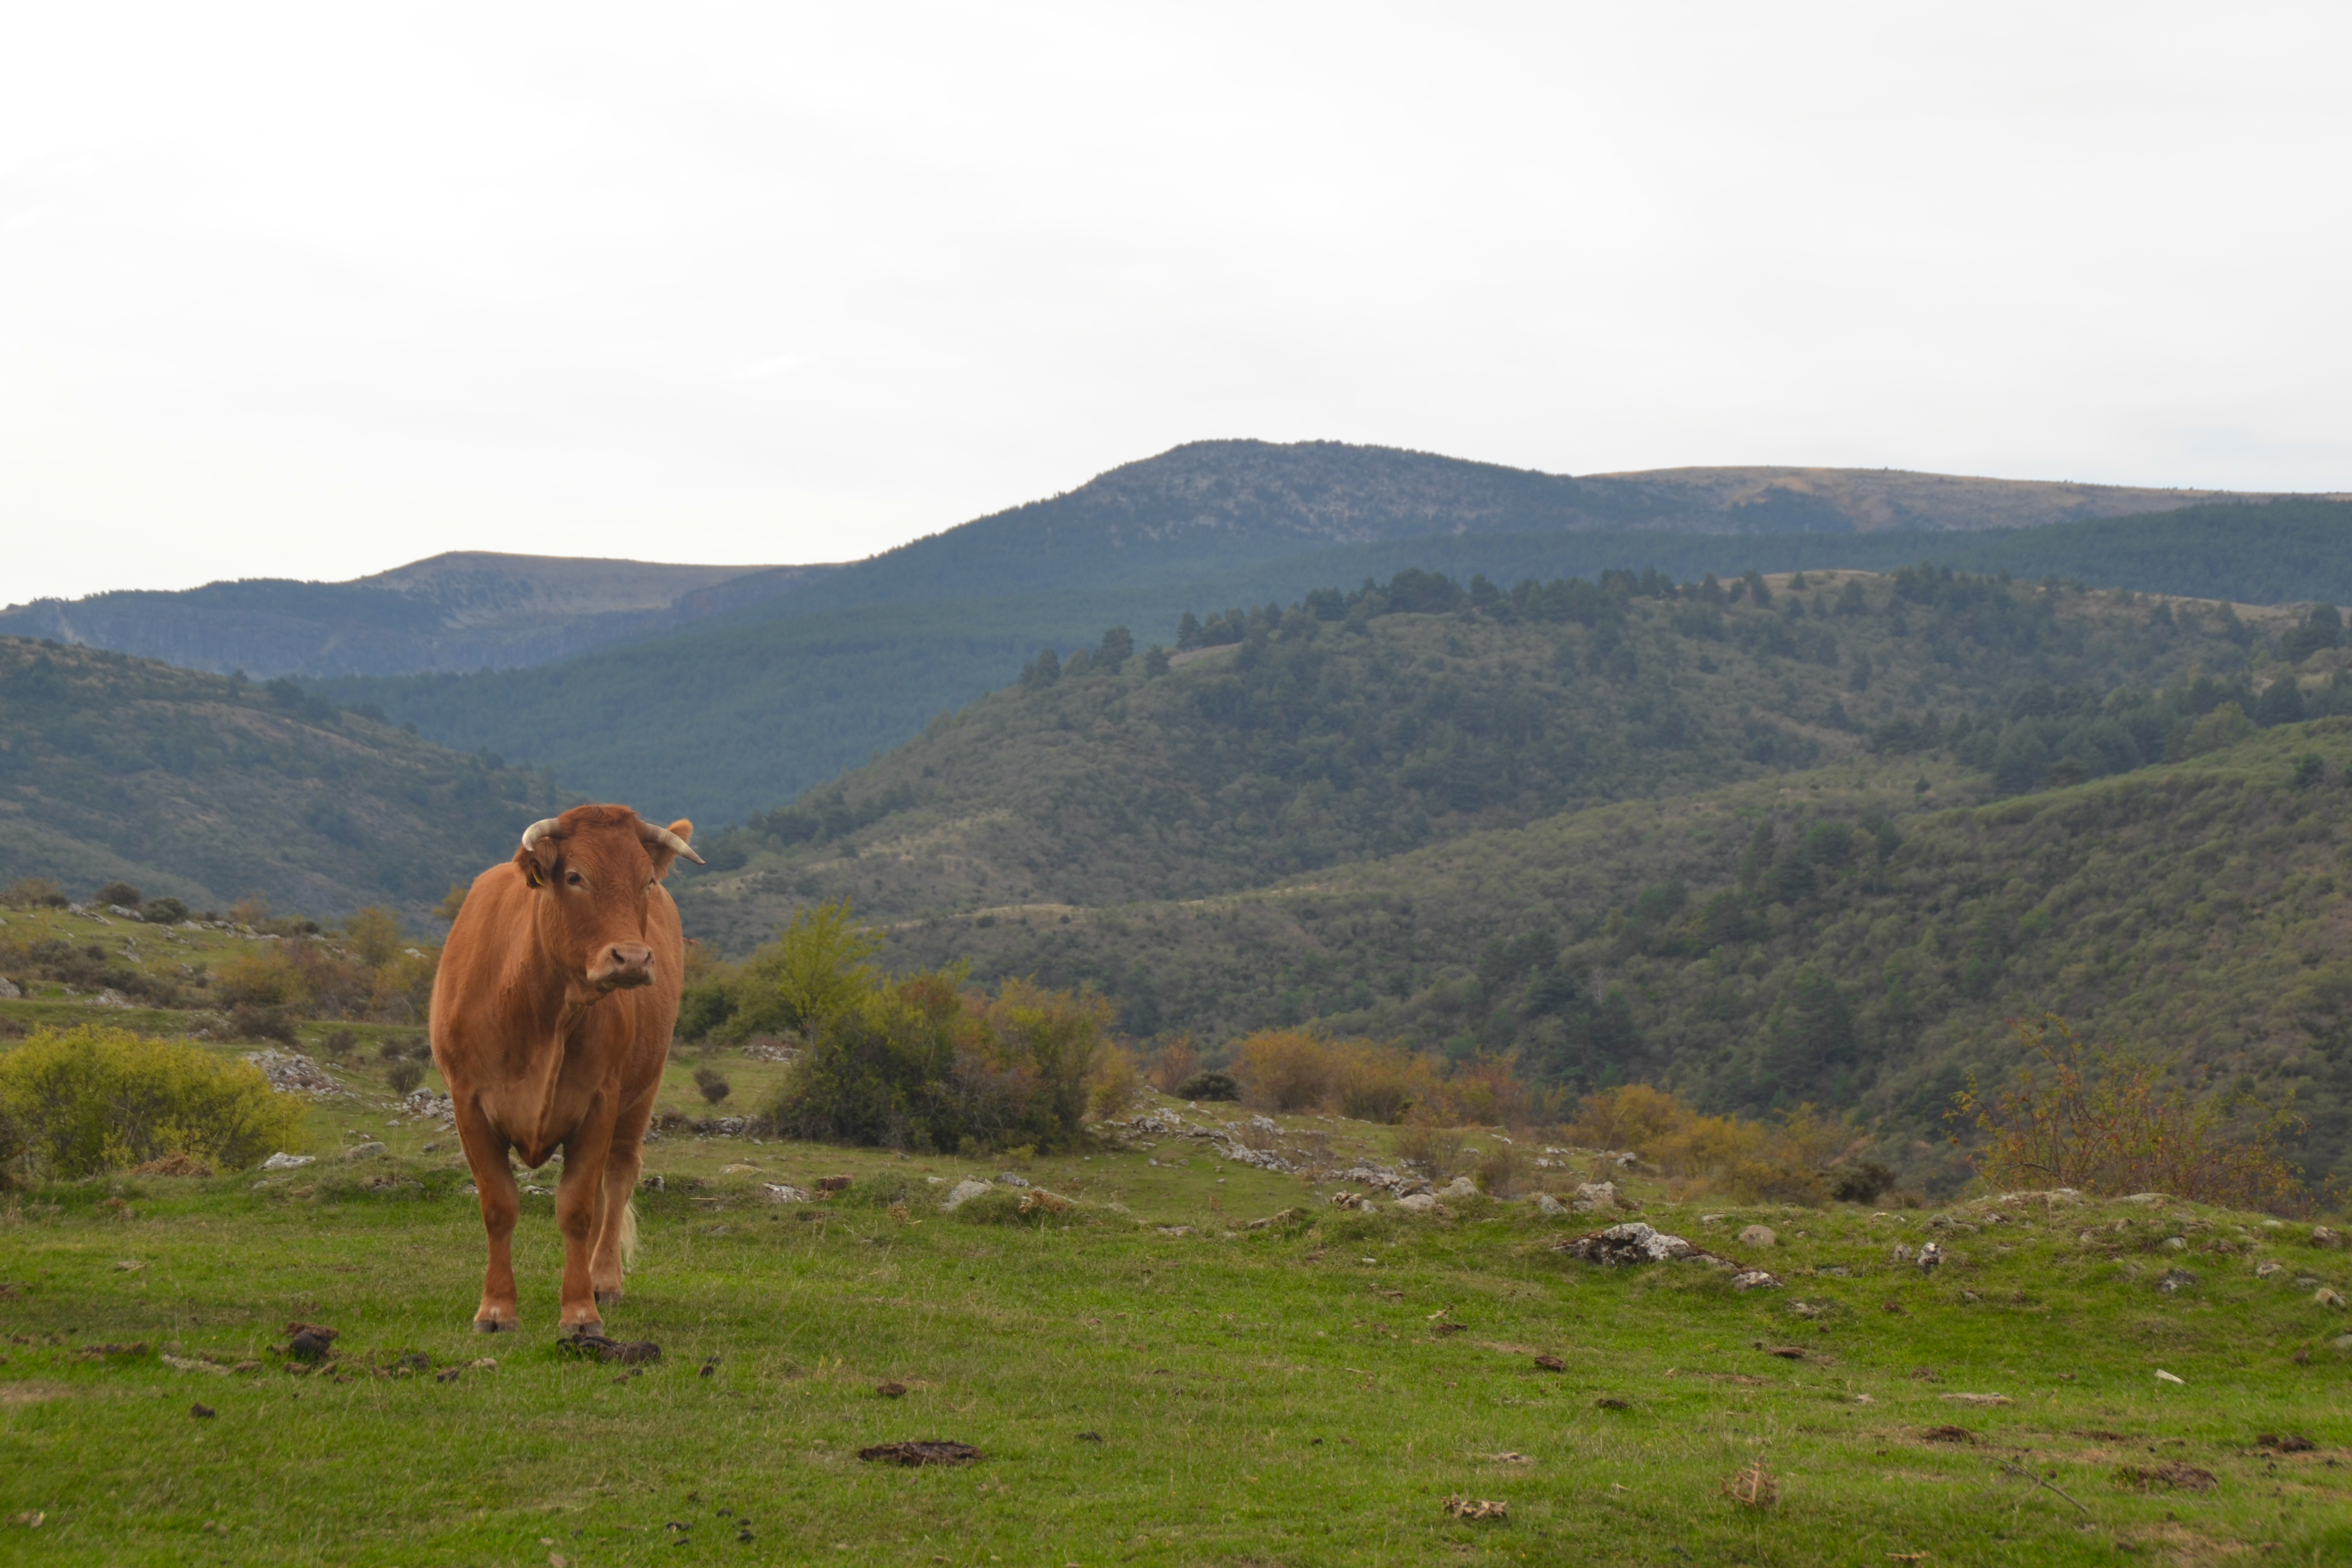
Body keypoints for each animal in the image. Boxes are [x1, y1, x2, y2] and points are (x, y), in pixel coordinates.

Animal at [428, 808, 696, 1335]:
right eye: (575, 877)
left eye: (647, 881)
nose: (633, 957)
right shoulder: (468, 1104)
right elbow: (499, 1205)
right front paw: (496, 1310)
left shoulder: (599, 1103)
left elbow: (576, 1209)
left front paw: (580, 1313)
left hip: (641, 1094)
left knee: (617, 1178)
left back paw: (604, 1280)